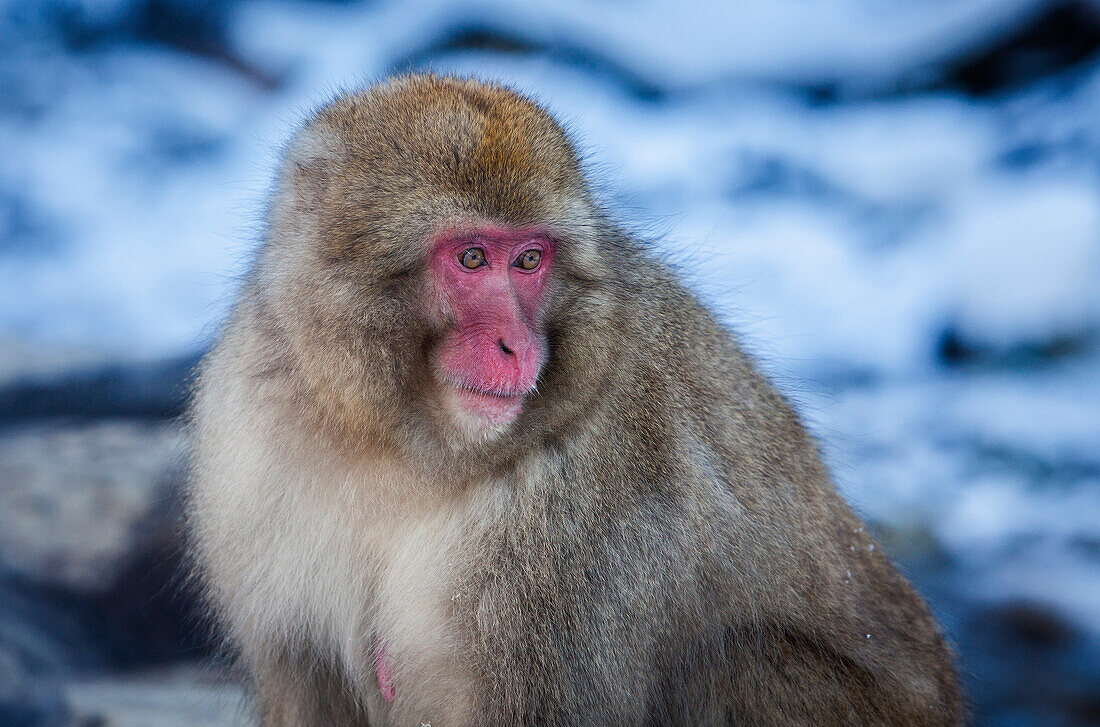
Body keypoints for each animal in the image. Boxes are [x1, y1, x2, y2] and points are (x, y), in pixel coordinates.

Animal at [187, 75, 963, 725]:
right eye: (473, 258)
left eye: (530, 260)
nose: (516, 346)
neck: (402, 447)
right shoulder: (250, 443)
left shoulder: (579, 517)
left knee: (739, 665)